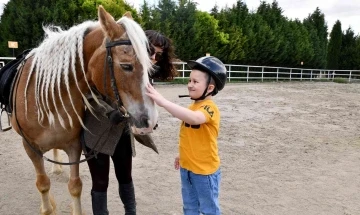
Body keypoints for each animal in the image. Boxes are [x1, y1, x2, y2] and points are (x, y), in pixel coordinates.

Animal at [9, 5, 158, 214]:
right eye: (126, 66)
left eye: (150, 67)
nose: (151, 120)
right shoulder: (30, 147)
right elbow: (42, 183)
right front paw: (47, 207)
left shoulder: (74, 145)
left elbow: (75, 186)